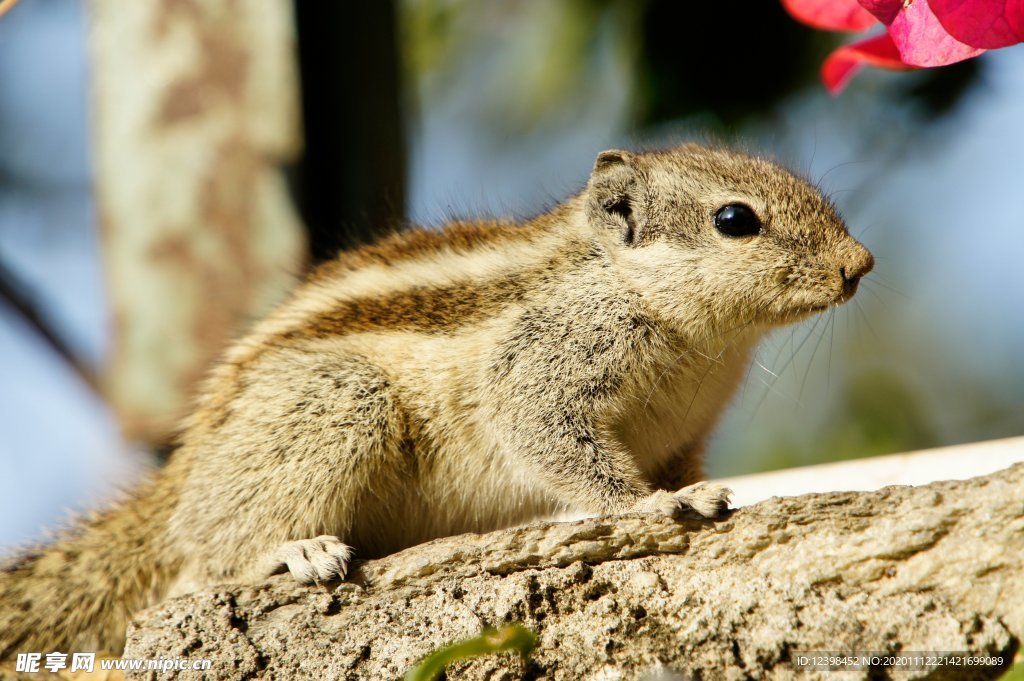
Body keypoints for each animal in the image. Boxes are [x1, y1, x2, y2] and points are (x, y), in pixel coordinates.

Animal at [0, 143, 872, 655]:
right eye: (735, 219)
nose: (859, 264)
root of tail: (181, 476)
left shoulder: (684, 432)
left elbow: (679, 463)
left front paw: (697, 493)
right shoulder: (541, 371)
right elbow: (559, 444)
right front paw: (653, 506)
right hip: (337, 401)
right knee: (214, 552)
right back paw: (295, 549)